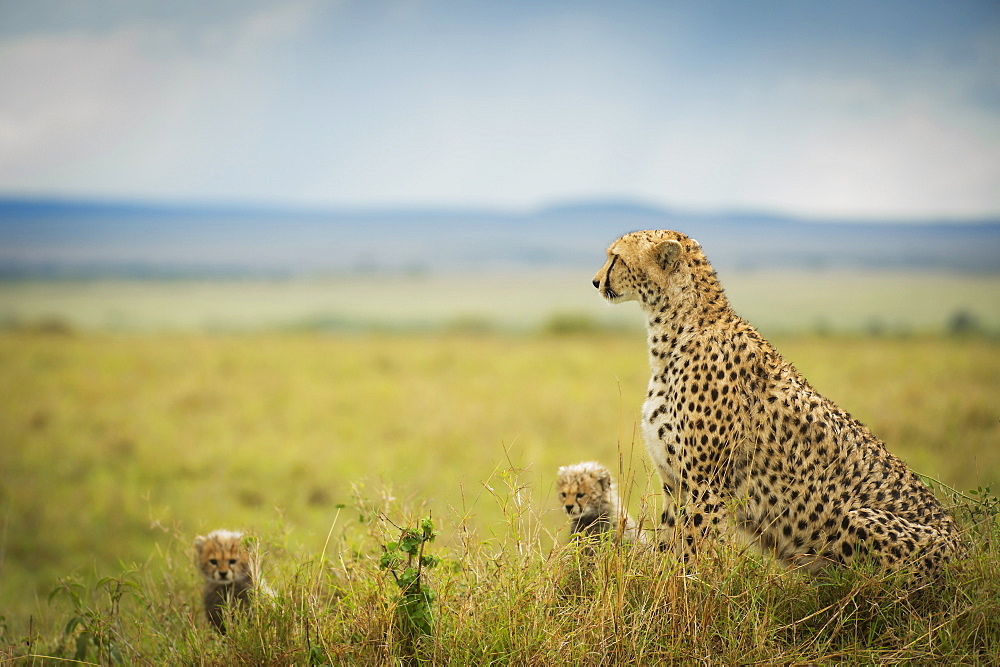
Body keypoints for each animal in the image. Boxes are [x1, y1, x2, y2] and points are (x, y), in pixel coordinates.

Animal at [588, 230, 964, 580]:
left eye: (616, 258)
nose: (595, 281)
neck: (674, 331)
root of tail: (966, 551)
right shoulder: (675, 482)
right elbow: (670, 546)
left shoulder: (707, 483)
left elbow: (696, 550)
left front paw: (689, 590)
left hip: (858, 518)